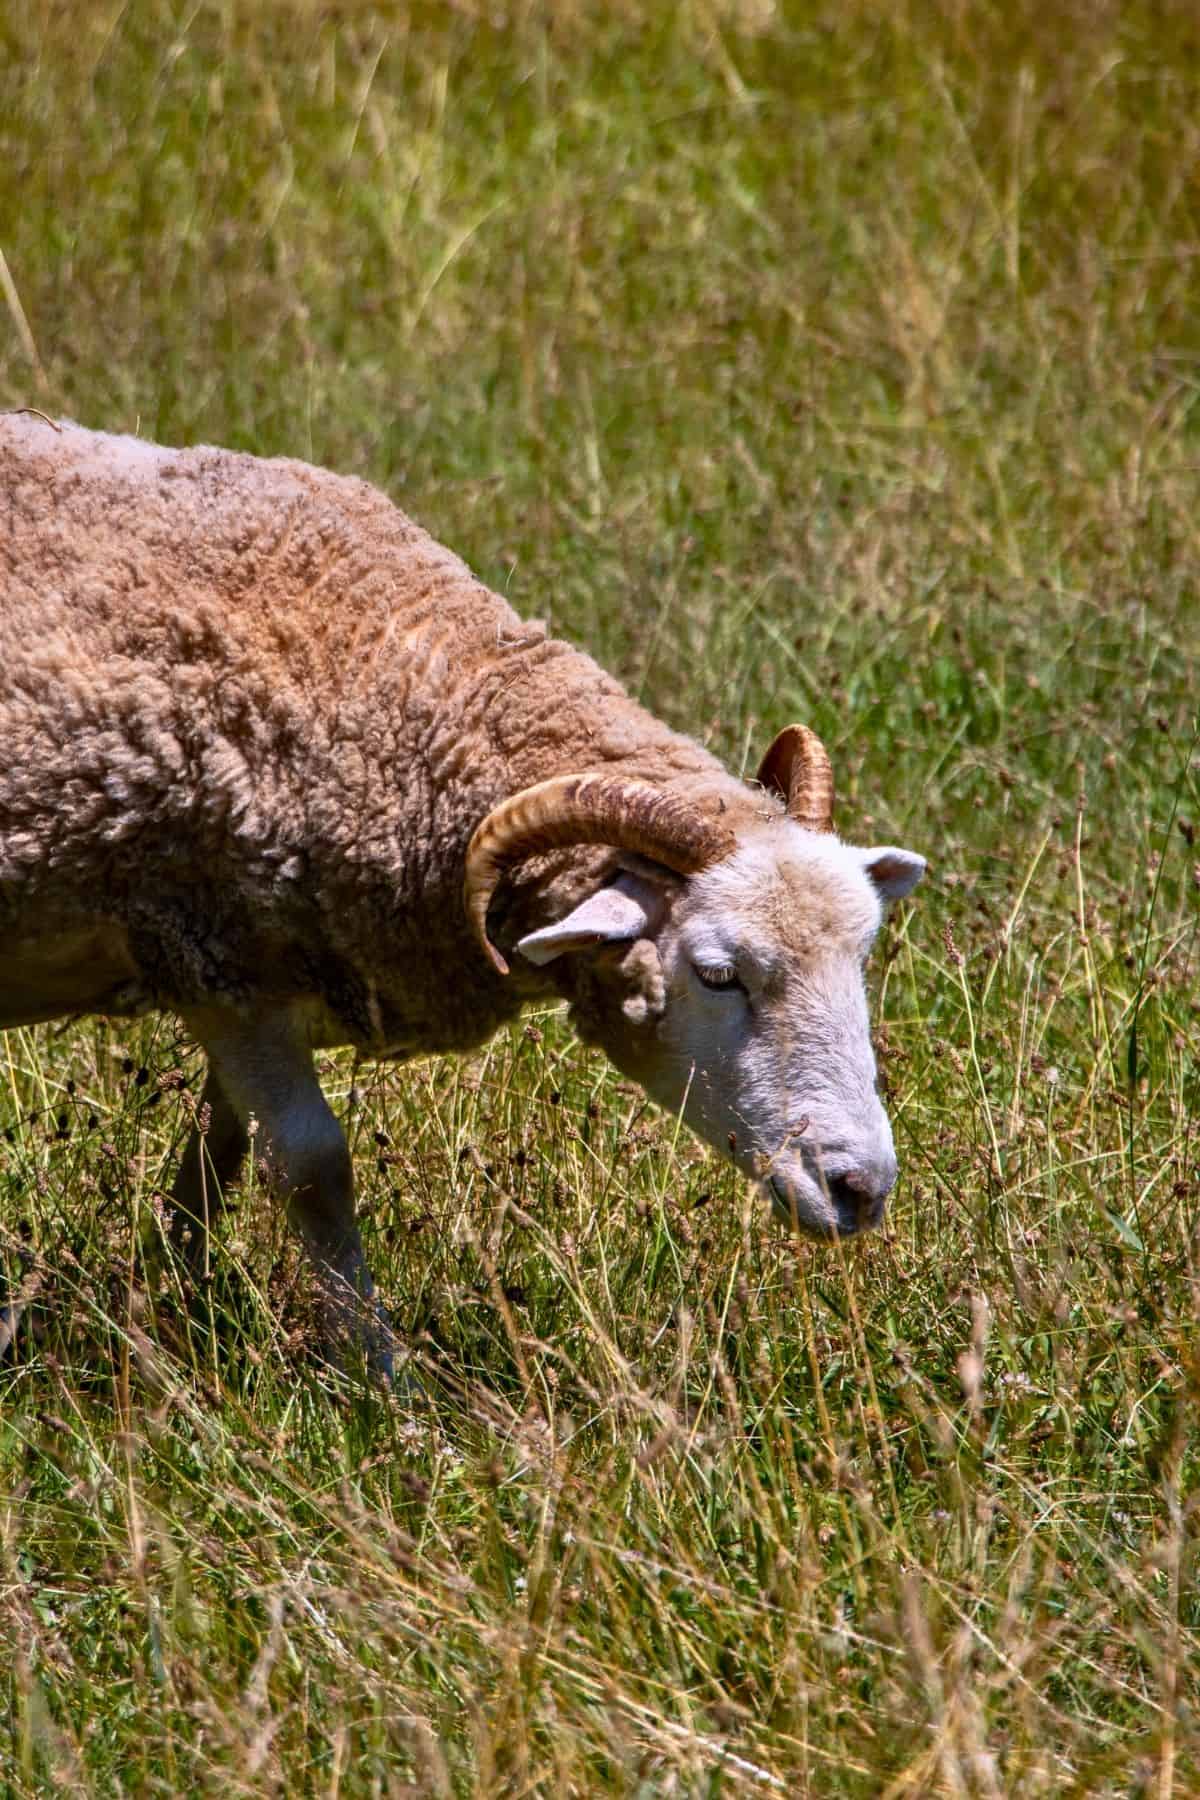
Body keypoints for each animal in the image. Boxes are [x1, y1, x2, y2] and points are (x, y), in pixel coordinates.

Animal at [0, 413, 926, 1374]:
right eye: (715, 974)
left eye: (862, 956)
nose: (860, 1188)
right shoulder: (210, 950)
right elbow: (311, 1165)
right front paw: (376, 1371)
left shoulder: (249, 969)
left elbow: (221, 1151)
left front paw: (169, 1297)